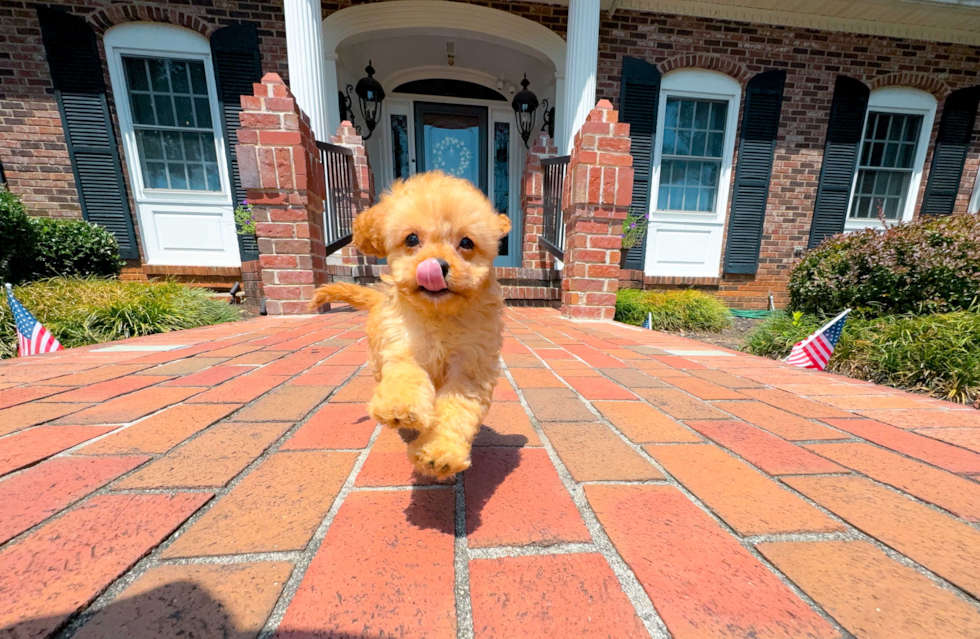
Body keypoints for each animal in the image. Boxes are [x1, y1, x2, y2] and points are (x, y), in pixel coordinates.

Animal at [312, 172, 512, 478]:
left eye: (466, 243)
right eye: (412, 238)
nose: (436, 266)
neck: (438, 314)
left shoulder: (470, 366)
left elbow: (456, 409)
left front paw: (439, 453)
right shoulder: (403, 345)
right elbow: (407, 376)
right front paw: (400, 409)